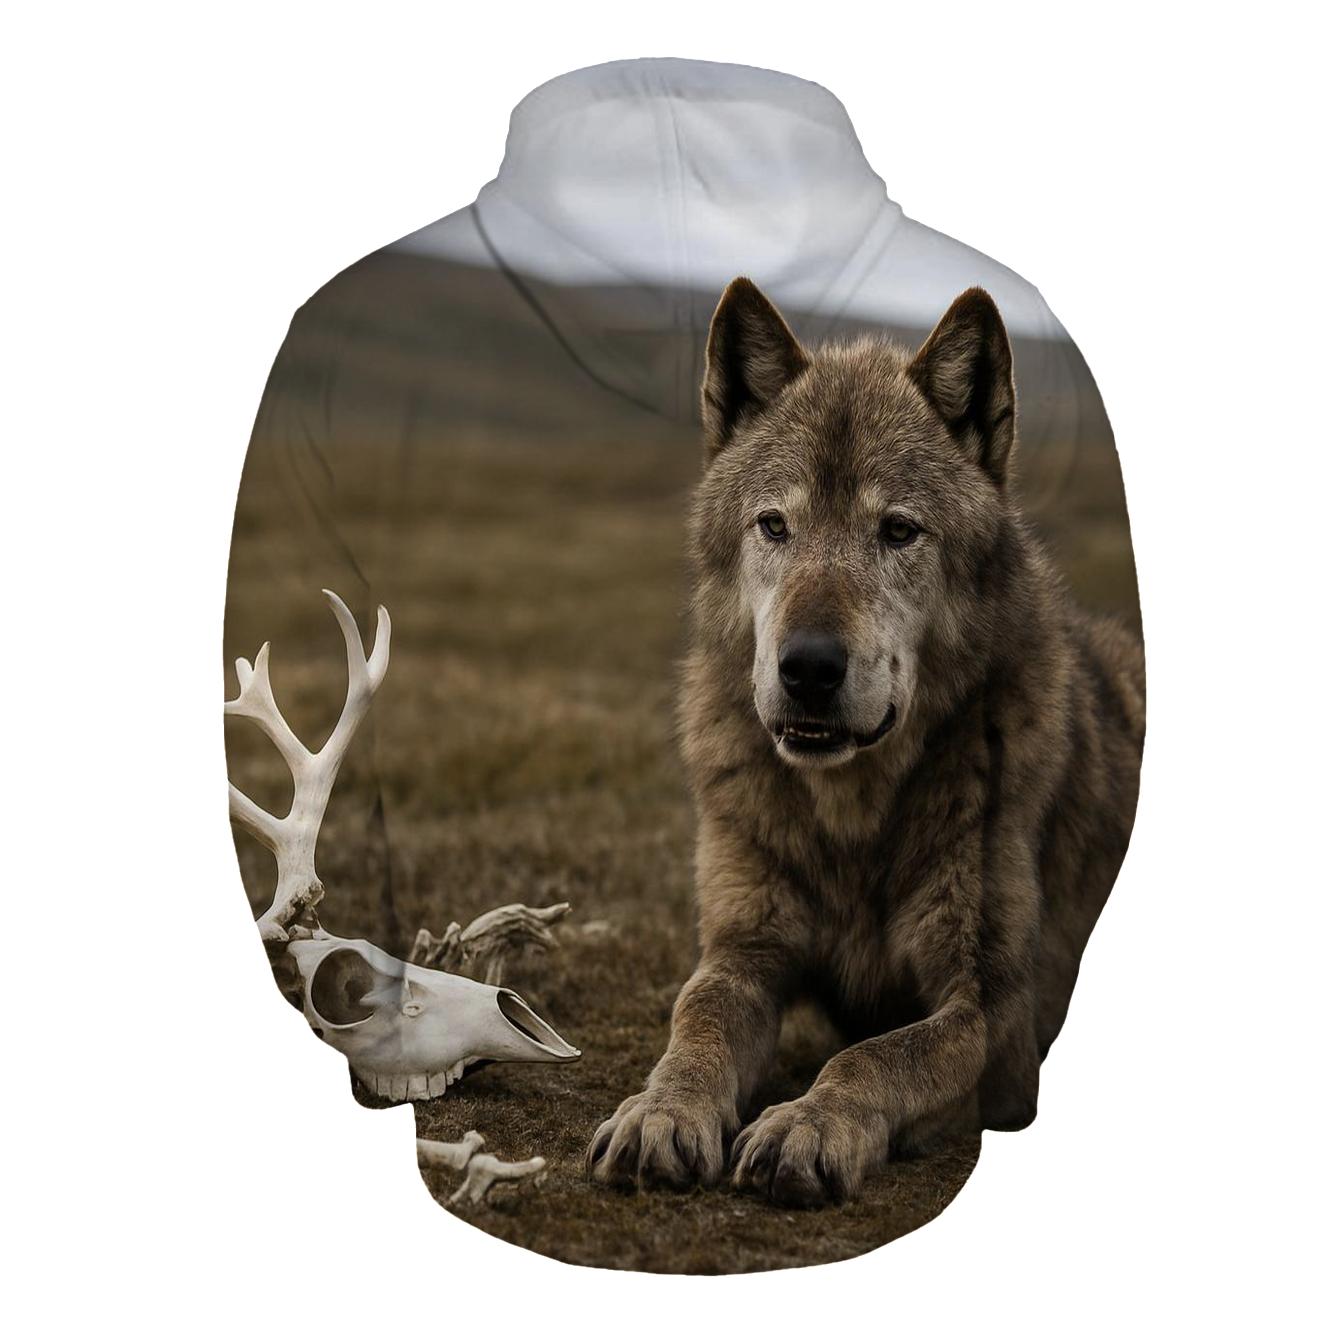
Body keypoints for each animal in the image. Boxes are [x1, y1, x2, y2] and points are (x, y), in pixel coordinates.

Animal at [586, 277, 1145, 1207]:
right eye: (774, 526)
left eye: (897, 531)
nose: (808, 667)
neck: (851, 821)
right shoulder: (743, 951)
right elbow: (694, 1024)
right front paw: (659, 1111)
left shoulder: (994, 1011)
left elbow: (873, 1057)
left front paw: (806, 1125)